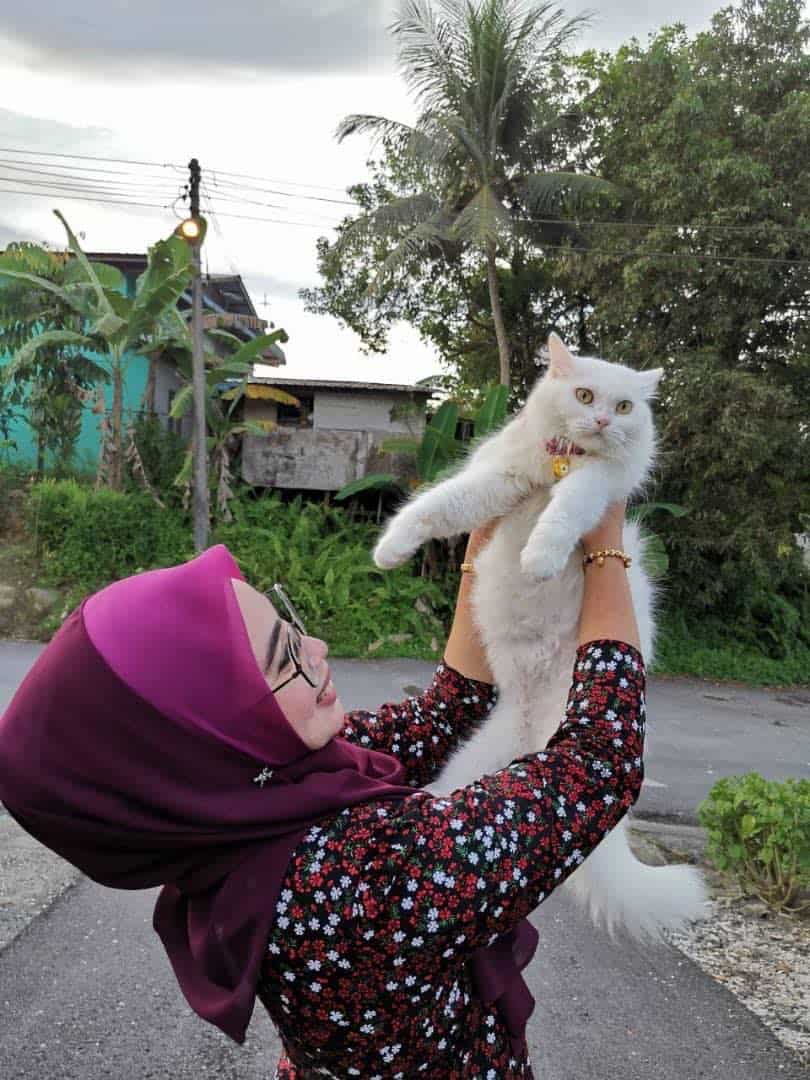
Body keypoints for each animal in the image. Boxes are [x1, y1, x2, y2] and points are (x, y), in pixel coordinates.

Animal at [371, 332, 708, 941]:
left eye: (625, 406)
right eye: (585, 395)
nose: (602, 420)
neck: (559, 463)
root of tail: (531, 732)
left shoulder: (598, 486)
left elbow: (565, 510)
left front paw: (540, 559)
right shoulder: (499, 478)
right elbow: (436, 505)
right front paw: (388, 551)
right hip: (468, 773)